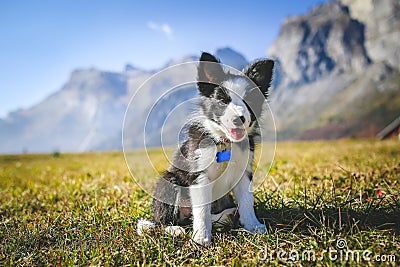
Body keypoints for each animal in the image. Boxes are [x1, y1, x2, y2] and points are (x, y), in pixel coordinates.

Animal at [138, 52, 276, 247]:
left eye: (249, 100)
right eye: (222, 101)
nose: (238, 119)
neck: (224, 141)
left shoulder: (243, 173)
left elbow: (247, 201)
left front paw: (254, 226)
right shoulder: (199, 176)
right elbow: (202, 210)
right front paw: (201, 238)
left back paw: (227, 215)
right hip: (169, 182)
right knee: (163, 221)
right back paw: (174, 229)